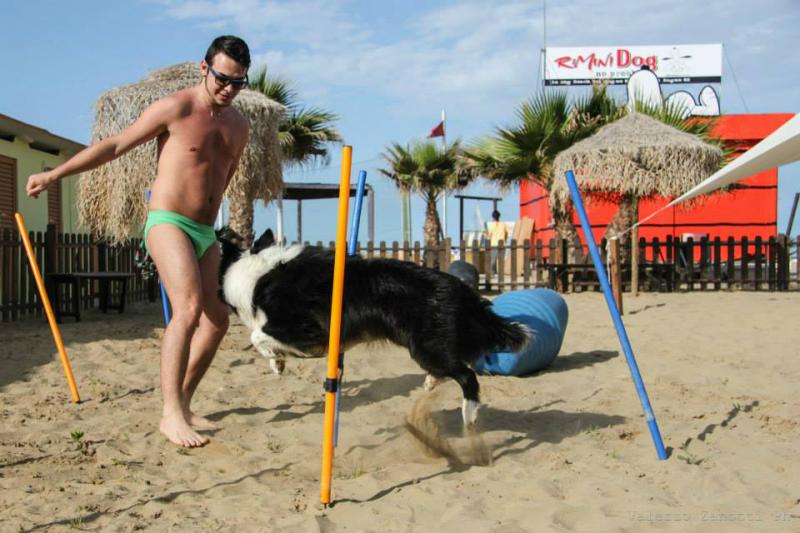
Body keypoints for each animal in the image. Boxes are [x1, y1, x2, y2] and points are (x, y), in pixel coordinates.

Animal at [218, 229, 529, 426]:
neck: (252, 270)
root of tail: (463, 291)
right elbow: (261, 338)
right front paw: (277, 363)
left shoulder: (306, 329)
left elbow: (257, 334)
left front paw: (276, 361)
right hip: (427, 346)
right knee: (454, 368)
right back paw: (432, 382)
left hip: (426, 346)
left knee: (467, 376)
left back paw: (469, 415)